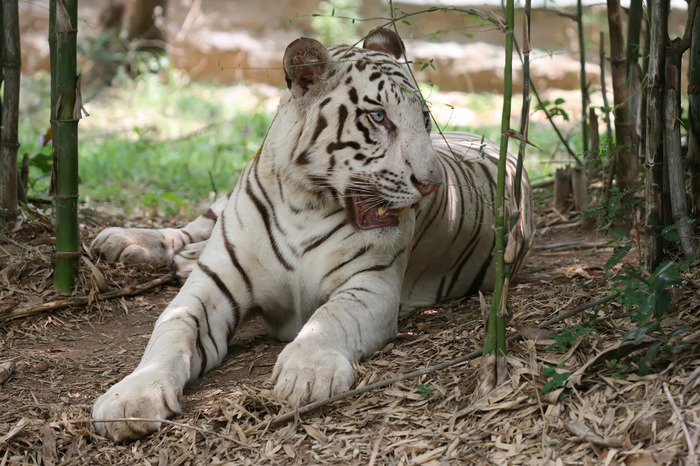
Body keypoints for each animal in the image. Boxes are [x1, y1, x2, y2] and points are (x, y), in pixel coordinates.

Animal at [90, 29, 532, 440]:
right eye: (379, 118)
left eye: (423, 118)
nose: (432, 184)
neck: (304, 203)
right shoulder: (210, 289)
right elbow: (169, 333)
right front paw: (130, 399)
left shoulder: (370, 285)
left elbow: (329, 319)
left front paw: (307, 374)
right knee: (191, 227)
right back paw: (125, 242)